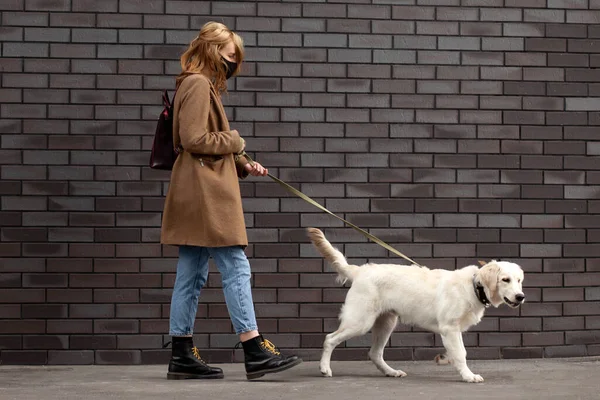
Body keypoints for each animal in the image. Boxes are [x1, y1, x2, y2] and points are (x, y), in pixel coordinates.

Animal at [308, 227, 524, 382]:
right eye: (505, 280)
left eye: (519, 280)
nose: (520, 297)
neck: (474, 286)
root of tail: (360, 271)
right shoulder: (450, 328)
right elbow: (461, 353)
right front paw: (468, 376)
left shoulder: (452, 331)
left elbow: (456, 352)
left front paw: (446, 359)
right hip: (360, 322)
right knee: (330, 338)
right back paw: (324, 368)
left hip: (386, 323)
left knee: (375, 353)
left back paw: (391, 372)